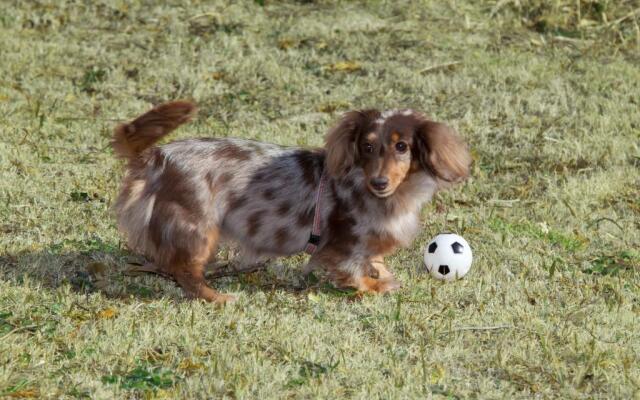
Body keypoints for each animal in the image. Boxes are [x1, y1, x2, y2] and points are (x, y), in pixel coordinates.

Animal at [112, 101, 470, 304]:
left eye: (402, 146)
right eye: (367, 147)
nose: (379, 183)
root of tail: (157, 157)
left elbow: (376, 260)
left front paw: (382, 273)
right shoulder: (341, 247)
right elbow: (353, 272)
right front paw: (376, 285)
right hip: (199, 227)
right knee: (182, 270)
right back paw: (217, 297)